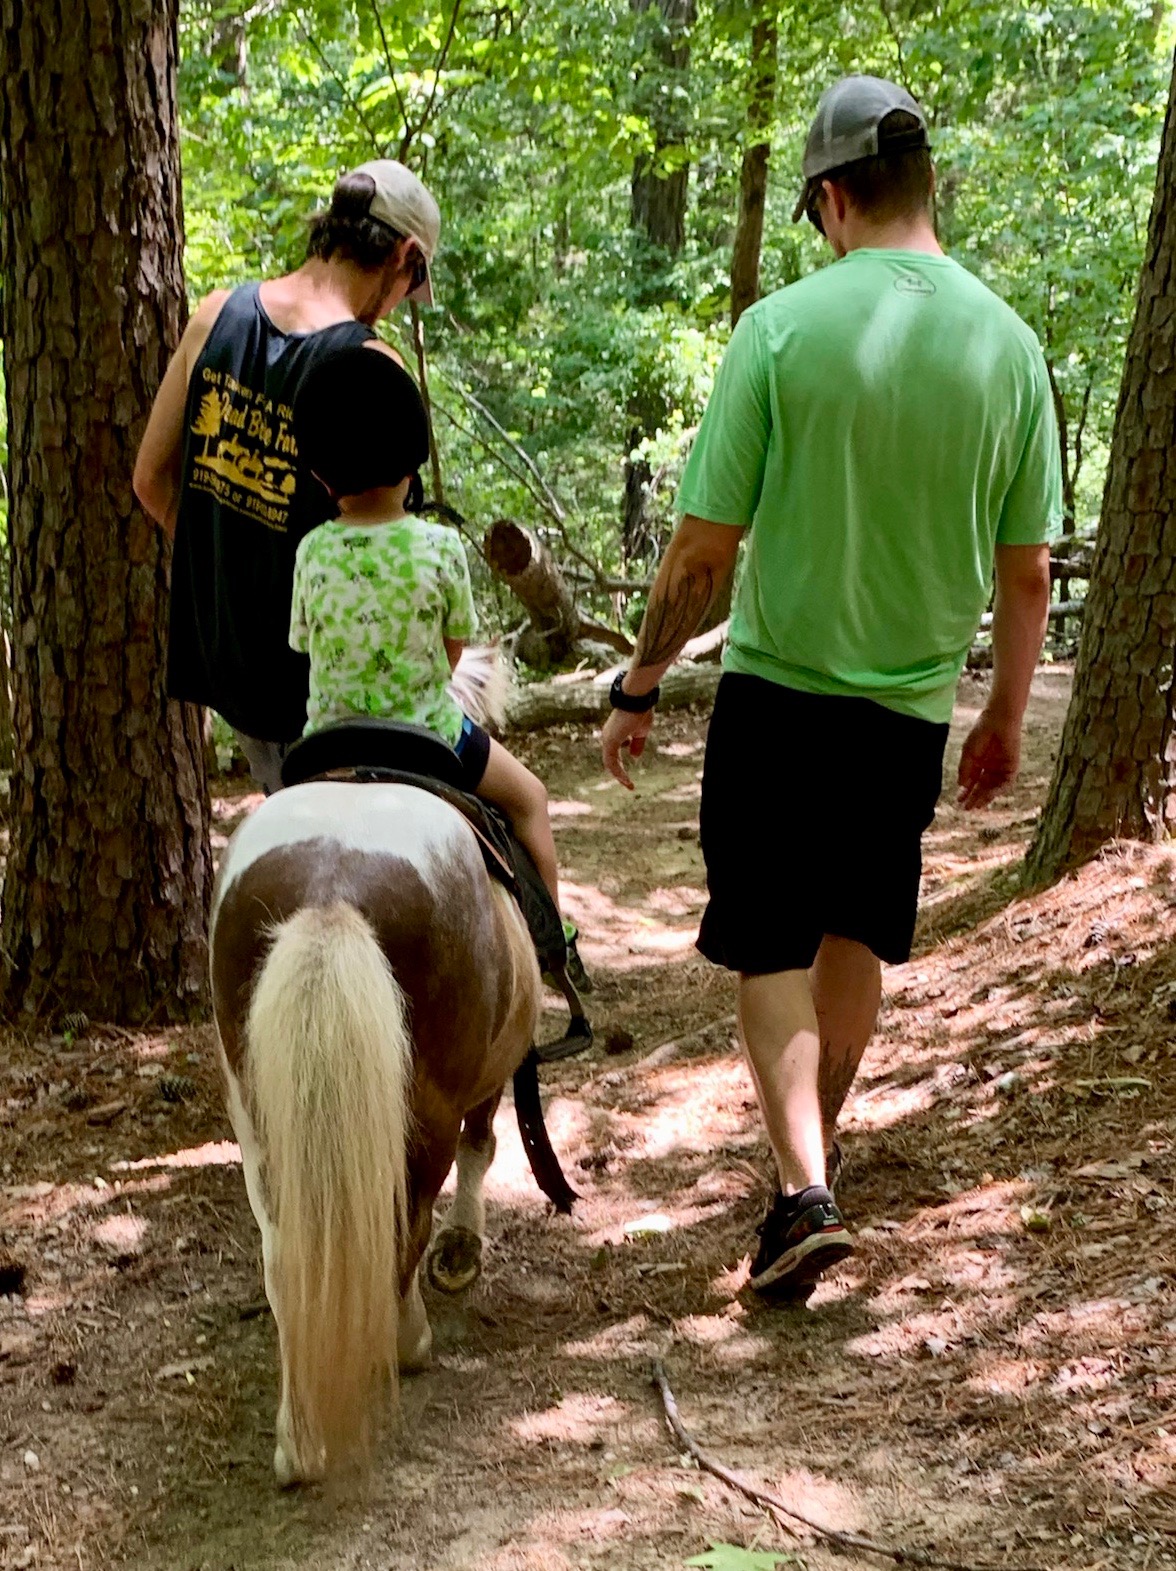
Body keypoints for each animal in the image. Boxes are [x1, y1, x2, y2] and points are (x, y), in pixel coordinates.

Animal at [207, 650, 546, 1483]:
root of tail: (332, 883)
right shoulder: (487, 1079)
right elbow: (483, 1146)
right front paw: (462, 1252)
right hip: (423, 1111)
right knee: (405, 1223)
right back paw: (409, 1340)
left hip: (257, 1118)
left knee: (284, 1256)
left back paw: (297, 1440)